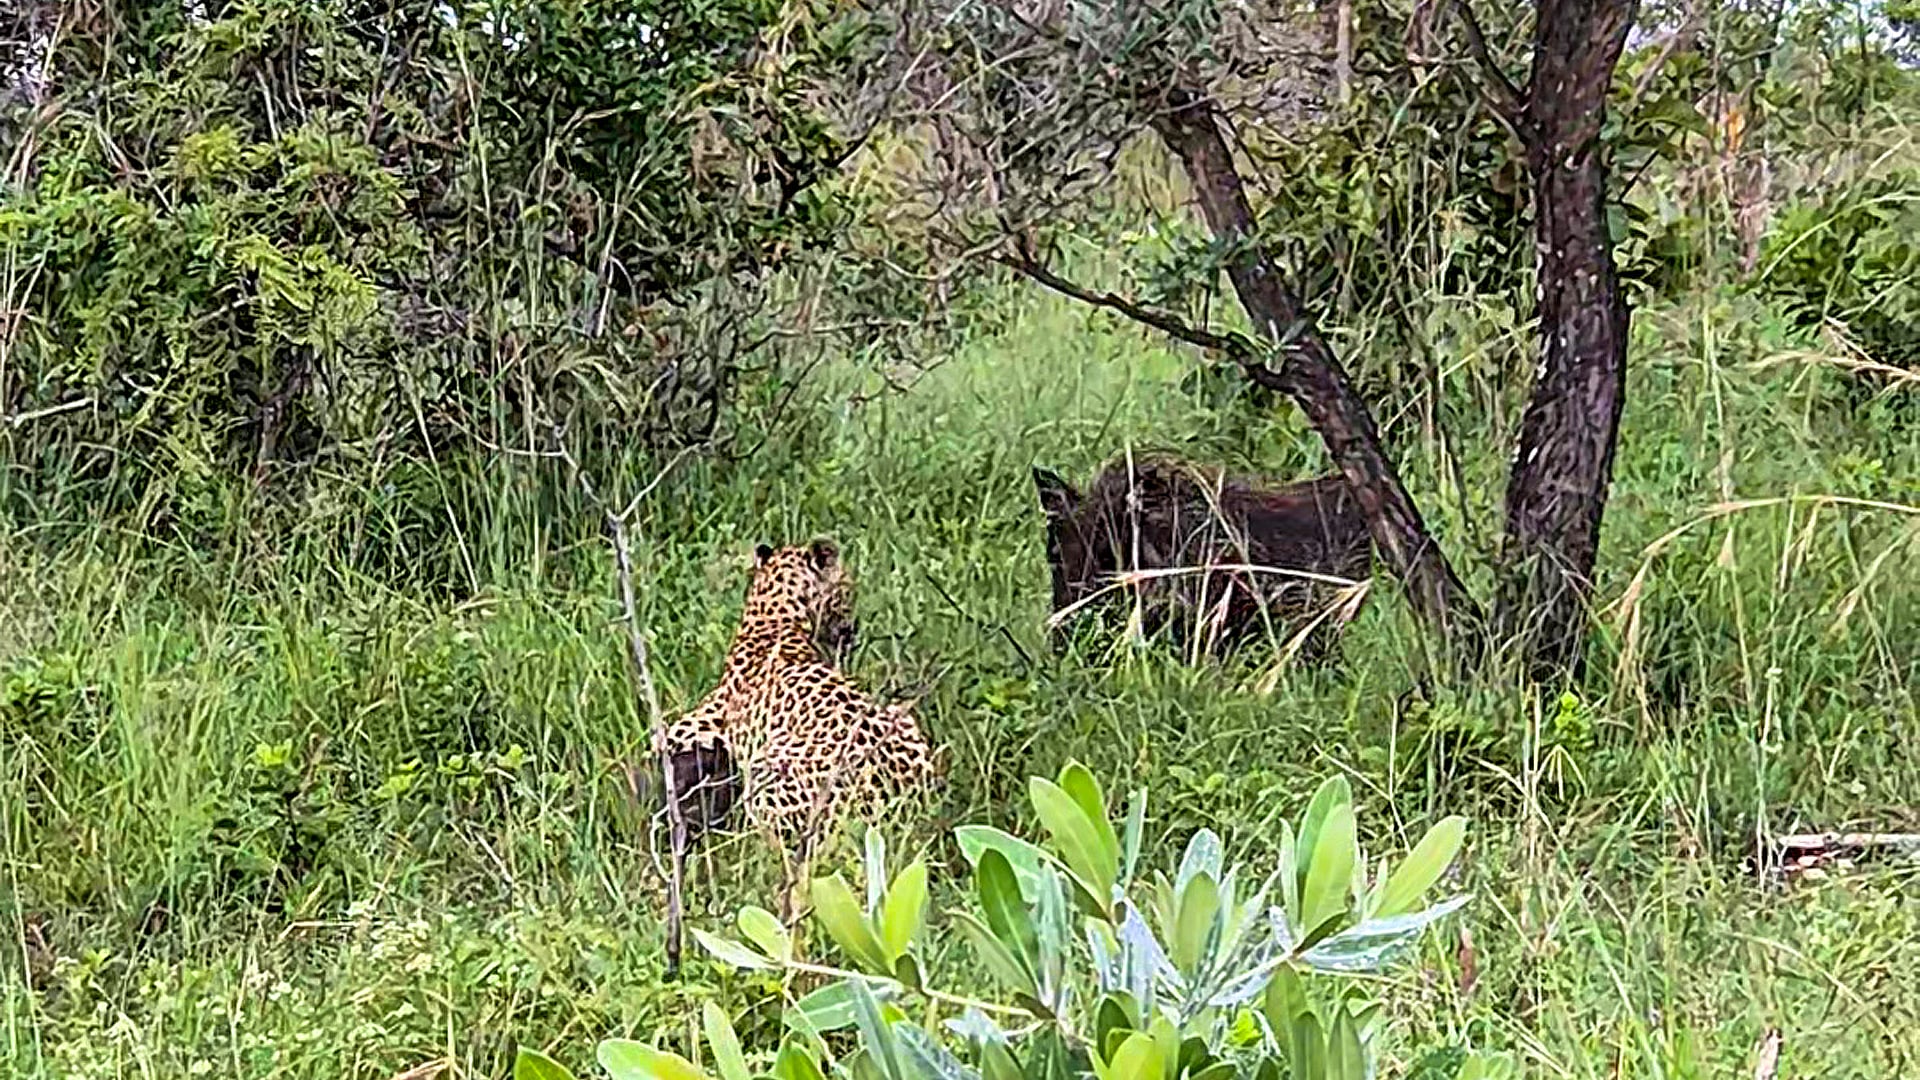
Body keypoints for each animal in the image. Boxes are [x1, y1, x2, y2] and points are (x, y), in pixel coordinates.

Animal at [654, 538, 937, 859]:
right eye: (848, 588)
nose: (853, 628)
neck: (774, 612)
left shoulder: (698, 724)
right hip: (902, 720)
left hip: (767, 765)